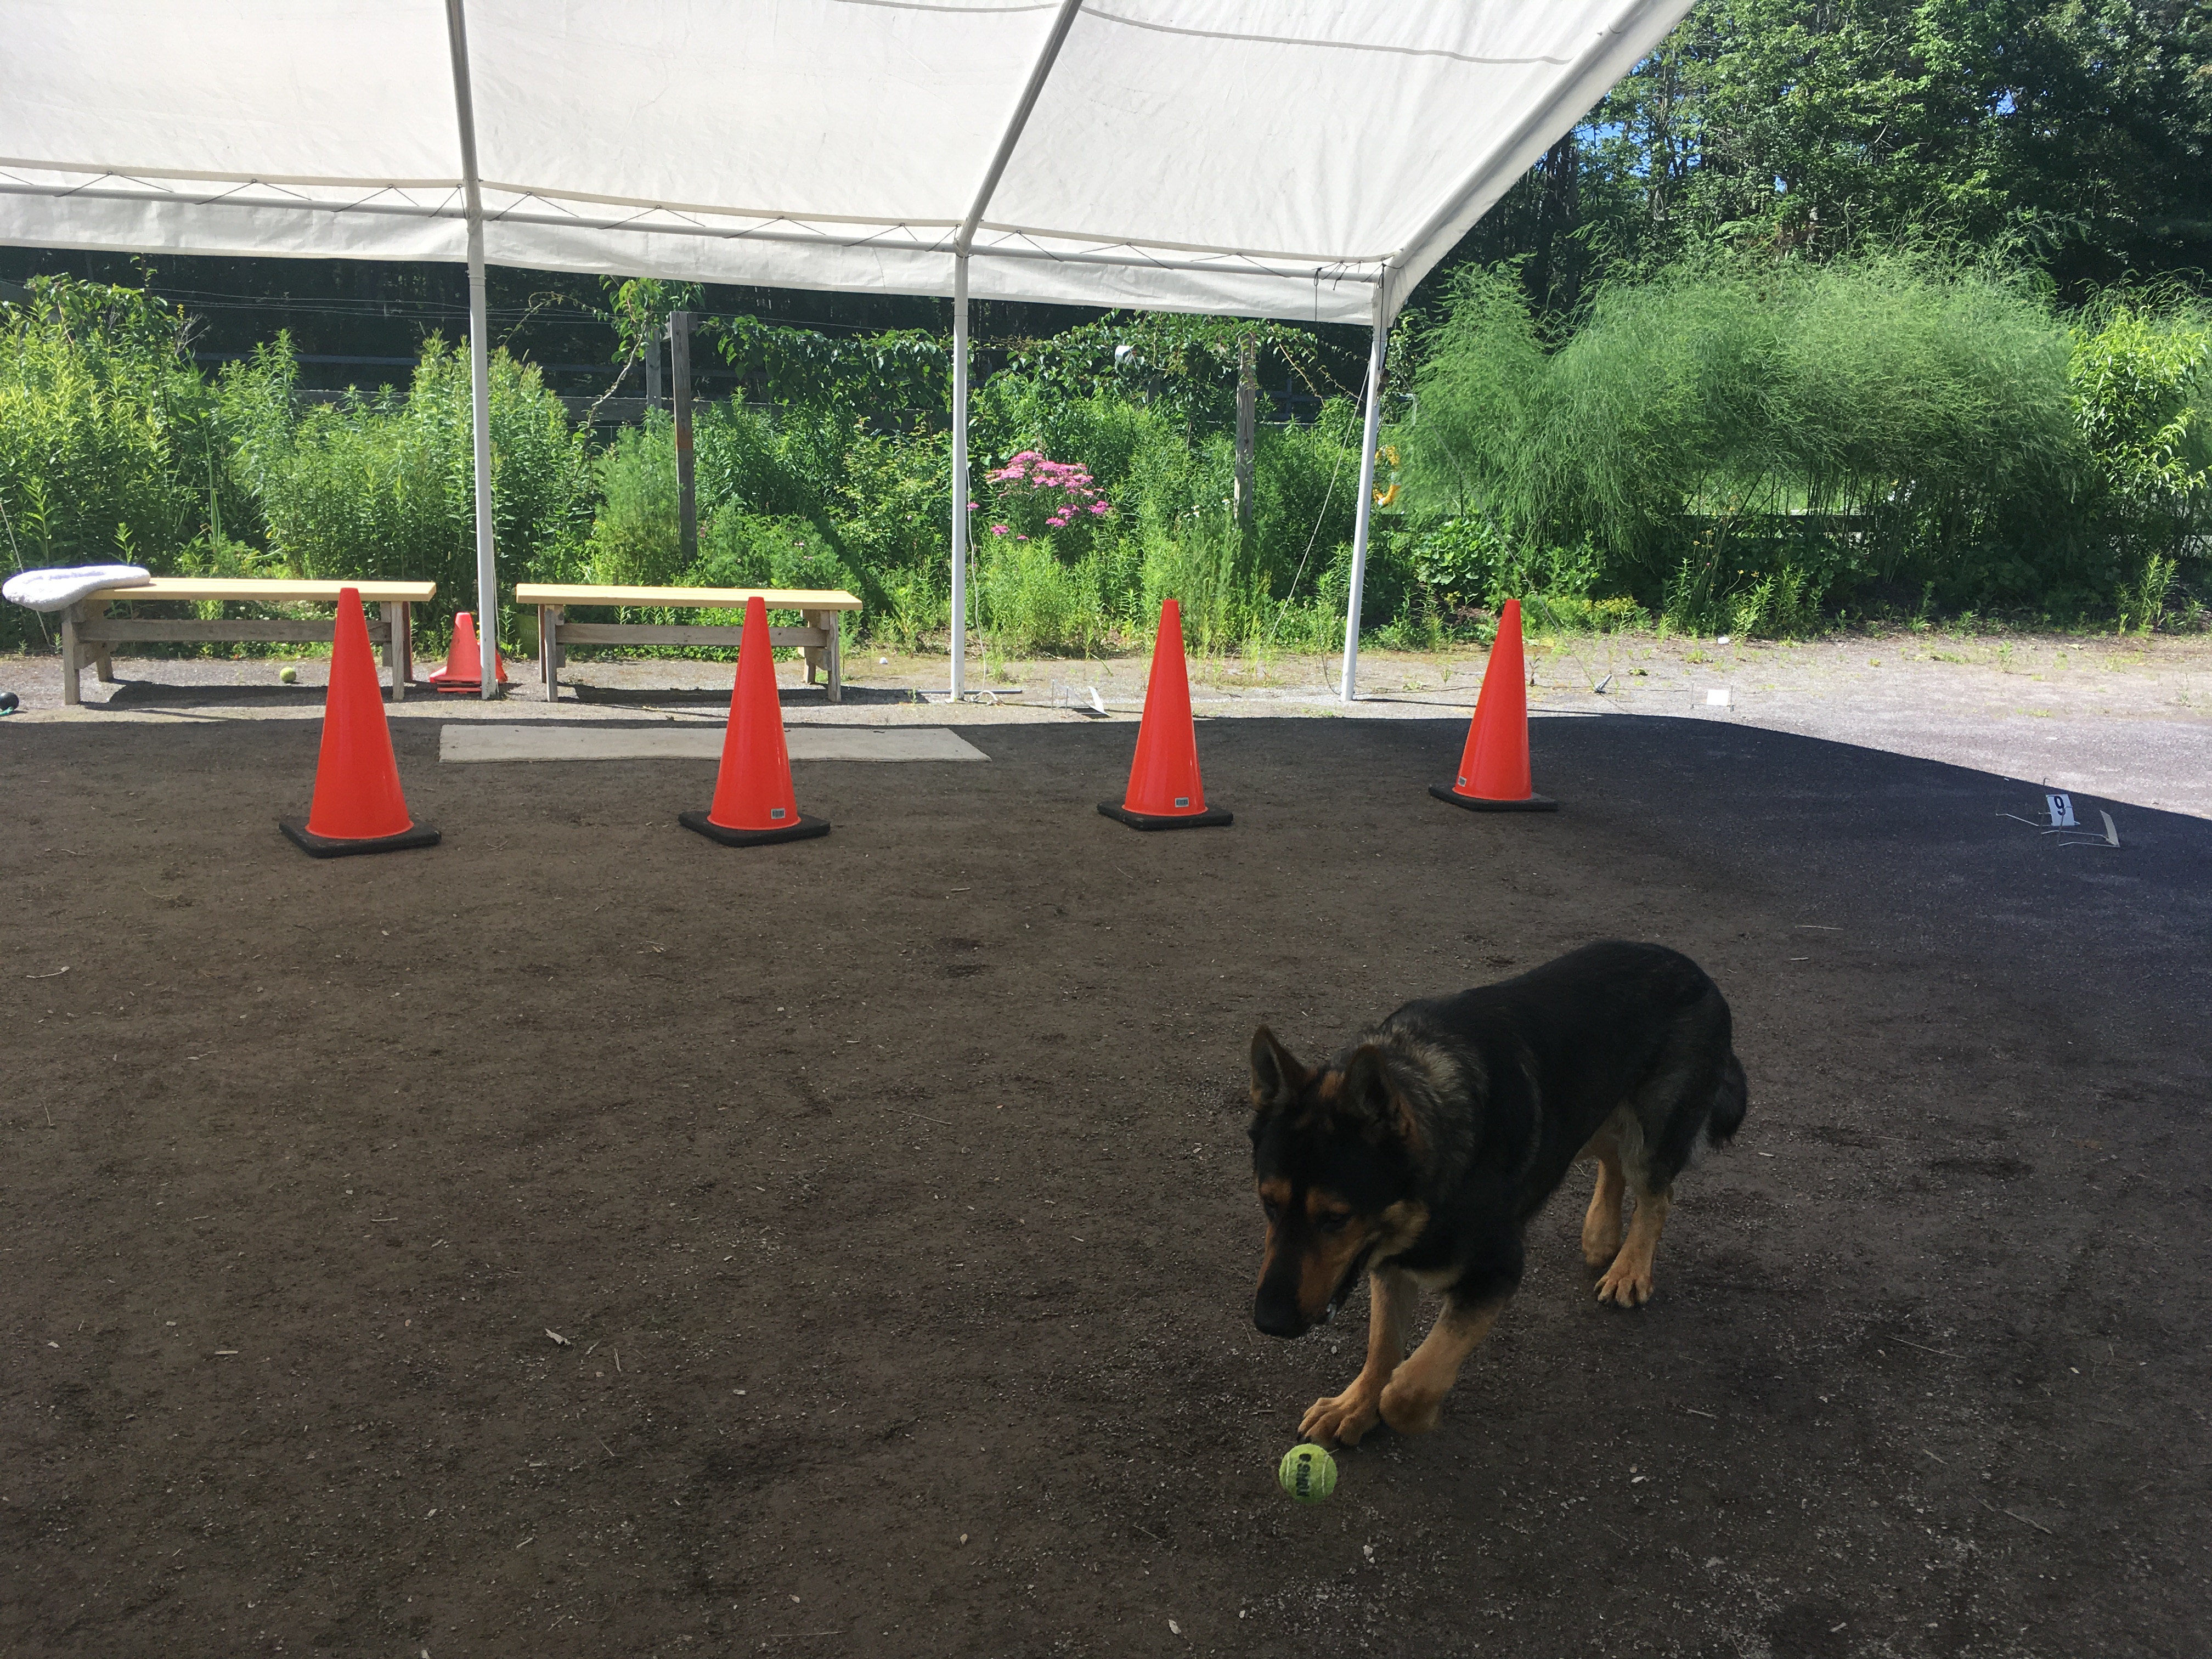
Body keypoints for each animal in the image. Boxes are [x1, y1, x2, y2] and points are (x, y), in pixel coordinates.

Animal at [1247, 940, 1747, 1445]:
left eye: (1336, 1218)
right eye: (1268, 1204)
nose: (1268, 1322)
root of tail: (1692, 968)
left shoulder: (1496, 1272)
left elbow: (1410, 1386)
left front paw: (1410, 1412)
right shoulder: (1389, 1263)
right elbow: (1383, 1346)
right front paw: (1356, 1405)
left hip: (1651, 1133)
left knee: (1656, 1195)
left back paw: (1631, 1269)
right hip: (1585, 1120)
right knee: (1612, 1158)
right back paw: (1601, 1236)